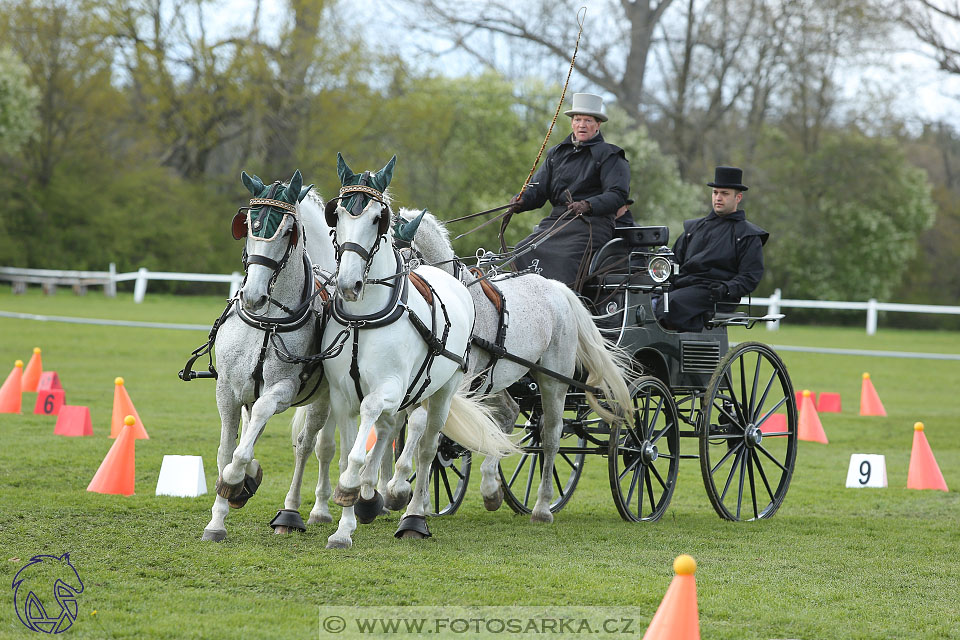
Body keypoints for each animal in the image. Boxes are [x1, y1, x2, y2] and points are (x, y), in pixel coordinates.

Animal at [202, 169, 330, 540]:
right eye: (248, 225)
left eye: (288, 231)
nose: (253, 296)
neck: (268, 320)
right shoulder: (228, 389)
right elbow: (226, 449)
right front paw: (217, 519)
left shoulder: (282, 389)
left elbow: (256, 422)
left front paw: (234, 480)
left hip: (325, 399)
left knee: (313, 446)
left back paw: (303, 511)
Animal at [292, 154, 516, 544]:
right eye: (337, 217)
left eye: (376, 219)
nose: (349, 284)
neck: (363, 318)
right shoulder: (340, 394)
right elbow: (346, 448)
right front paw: (347, 520)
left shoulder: (392, 387)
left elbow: (375, 425)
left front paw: (367, 489)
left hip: (445, 390)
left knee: (429, 446)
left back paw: (413, 514)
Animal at [382, 208, 636, 524]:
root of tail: (557, 288)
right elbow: (409, 425)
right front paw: (405, 493)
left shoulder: (454, 383)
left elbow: (421, 424)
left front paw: (400, 488)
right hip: (497, 378)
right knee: (508, 414)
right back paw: (492, 487)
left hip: (553, 380)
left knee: (551, 435)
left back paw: (542, 507)